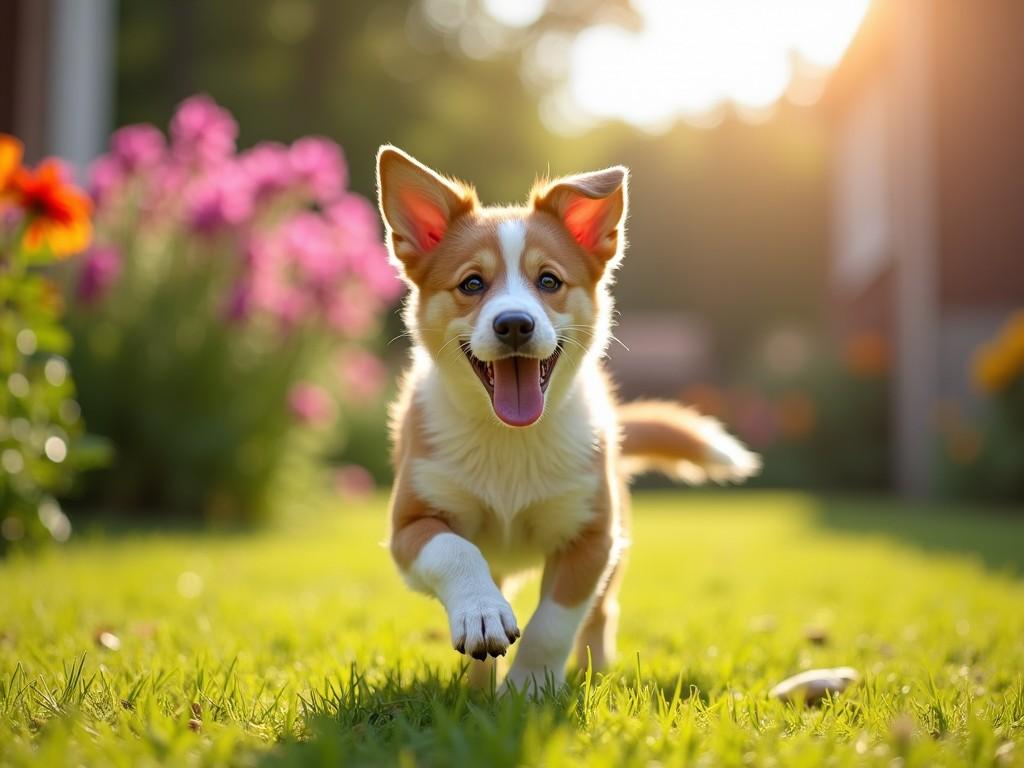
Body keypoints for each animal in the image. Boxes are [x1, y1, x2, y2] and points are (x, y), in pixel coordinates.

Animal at [376, 147, 761, 696]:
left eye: (549, 281)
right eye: (472, 283)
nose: (515, 324)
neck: (509, 441)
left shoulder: (592, 538)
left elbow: (554, 622)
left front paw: (529, 690)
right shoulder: (409, 525)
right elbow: (455, 551)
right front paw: (482, 616)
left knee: (601, 613)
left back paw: (592, 669)